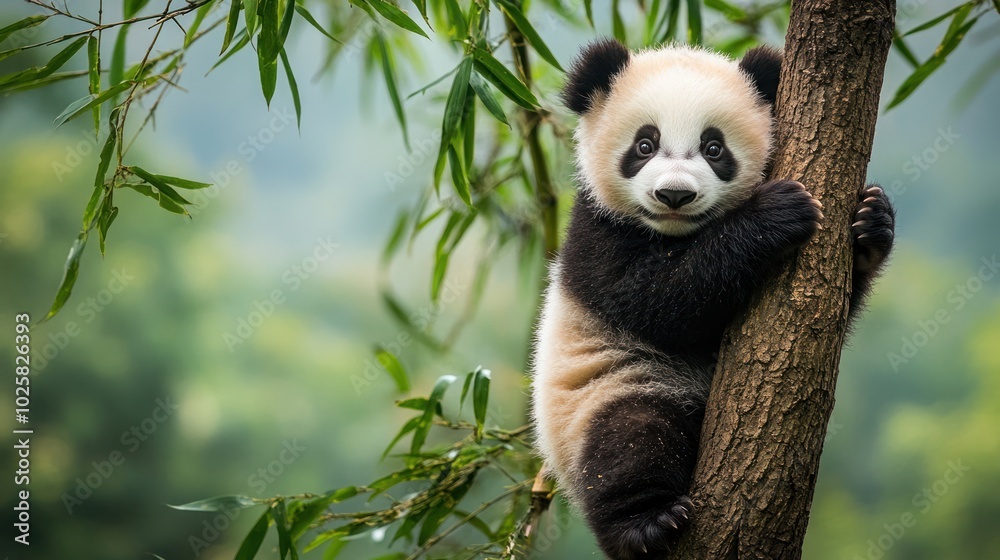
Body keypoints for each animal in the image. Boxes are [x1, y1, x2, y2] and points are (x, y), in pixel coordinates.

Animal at [530, 39, 895, 560]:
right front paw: (775, 215)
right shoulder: (596, 235)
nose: (674, 195)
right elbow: (662, 301)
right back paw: (645, 524)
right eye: (644, 145)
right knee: (628, 440)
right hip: (608, 389)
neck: (677, 234)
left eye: (713, 148)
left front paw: (872, 221)